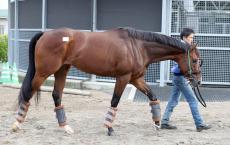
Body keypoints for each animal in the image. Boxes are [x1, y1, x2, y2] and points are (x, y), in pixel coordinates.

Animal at [11, 27, 201, 136]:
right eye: (196, 60)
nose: (198, 82)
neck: (137, 45)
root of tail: (45, 33)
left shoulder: (136, 79)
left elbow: (152, 97)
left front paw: (157, 123)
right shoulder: (123, 77)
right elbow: (115, 100)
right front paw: (109, 128)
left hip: (62, 70)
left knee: (56, 95)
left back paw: (65, 127)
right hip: (44, 72)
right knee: (28, 93)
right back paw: (16, 125)